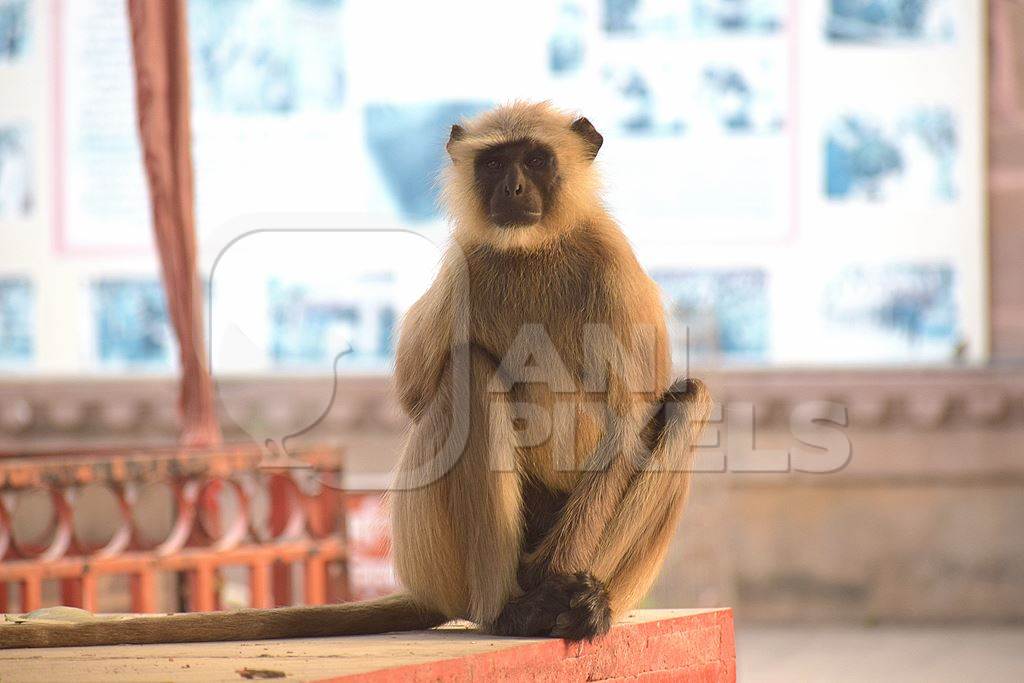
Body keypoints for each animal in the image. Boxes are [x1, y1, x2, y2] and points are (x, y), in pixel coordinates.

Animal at [2, 102, 712, 651]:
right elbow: (415, 391)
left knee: (685, 399)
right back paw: (510, 611)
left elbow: (624, 424)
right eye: (493, 164)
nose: (511, 189)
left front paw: (563, 590)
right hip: (440, 550)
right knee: (469, 370)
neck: (534, 252)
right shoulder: (468, 265)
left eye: (535, 160)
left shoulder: (614, 272)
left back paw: (577, 603)